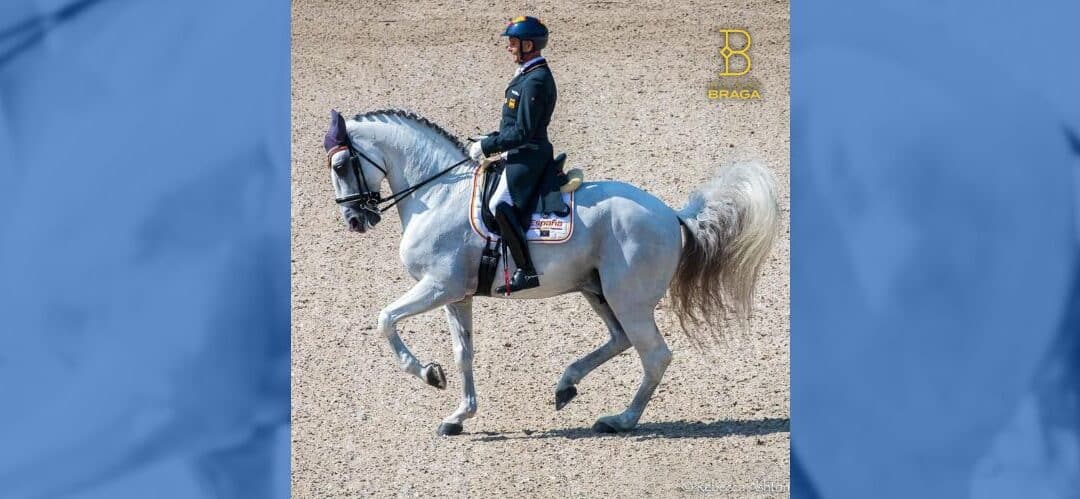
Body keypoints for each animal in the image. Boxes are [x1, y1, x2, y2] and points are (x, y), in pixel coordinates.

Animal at [319, 108, 777, 432]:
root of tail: (672, 215)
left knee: (654, 355)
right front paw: (458, 415)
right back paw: (566, 385)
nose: (355, 220)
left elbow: (385, 320)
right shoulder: (456, 295)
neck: (438, 194)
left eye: (340, 166)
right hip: (597, 291)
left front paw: (429, 375)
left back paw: (620, 420)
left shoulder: (438, 287)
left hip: (626, 298)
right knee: (621, 340)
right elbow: (463, 353)